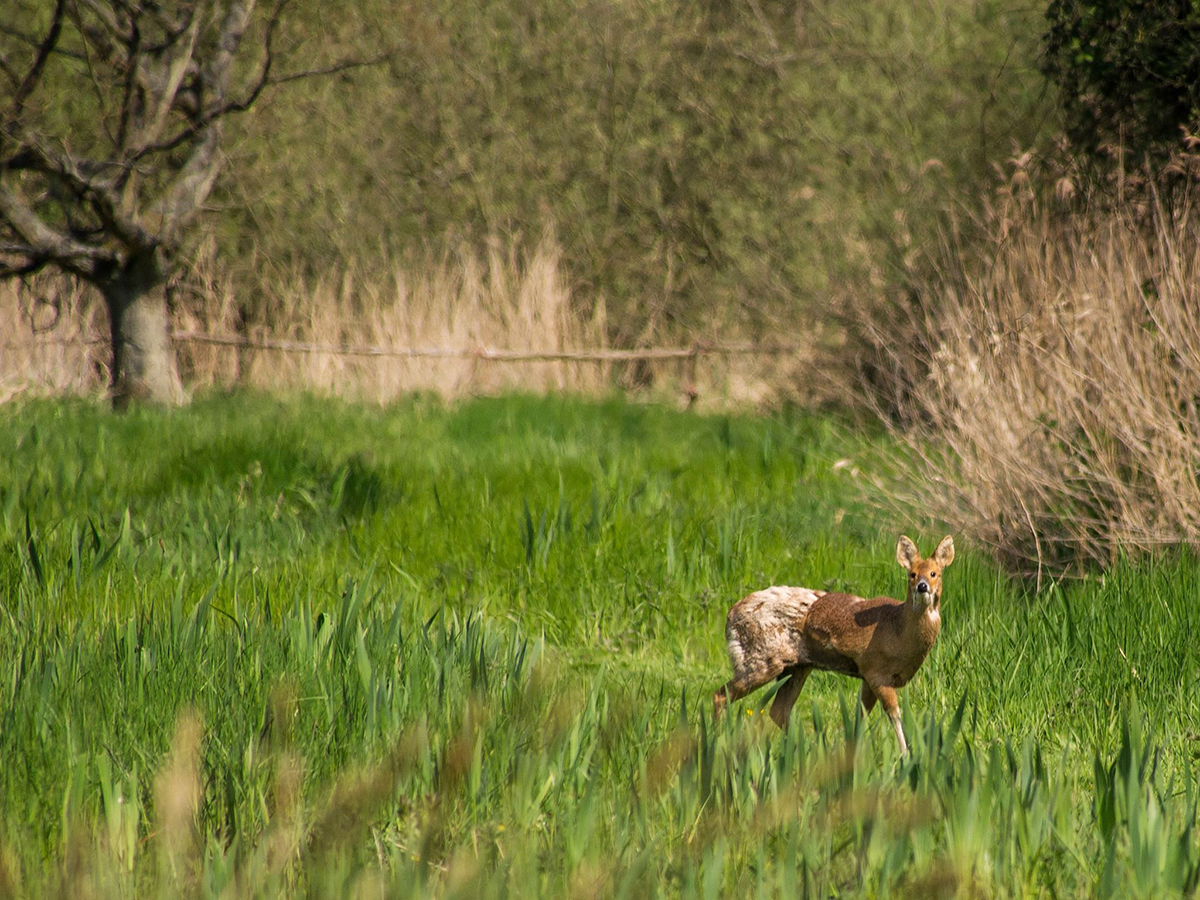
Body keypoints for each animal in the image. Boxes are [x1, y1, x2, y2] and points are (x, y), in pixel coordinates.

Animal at [713, 535, 955, 755]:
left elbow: (860, 717)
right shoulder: (876, 670)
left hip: (797, 667)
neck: (899, 632)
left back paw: (804, 748)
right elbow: (893, 714)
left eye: (935, 573)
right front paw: (905, 756)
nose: (922, 586)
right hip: (758, 659)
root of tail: (730, 616)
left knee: (778, 711)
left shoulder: (867, 675)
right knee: (721, 695)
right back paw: (718, 739)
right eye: (911, 574)